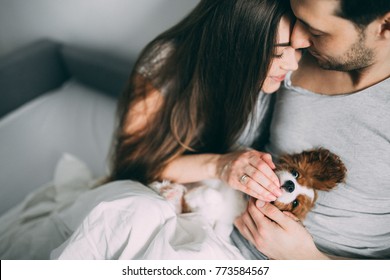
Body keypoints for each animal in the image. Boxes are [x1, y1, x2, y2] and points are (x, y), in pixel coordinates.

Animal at [150, 149, 348, 236]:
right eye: (295, 173)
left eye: (295, 204)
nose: (291, 185)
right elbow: (209, 190)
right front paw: (193, 194)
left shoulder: (220, 219)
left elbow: (213, 202)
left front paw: (194, 197)